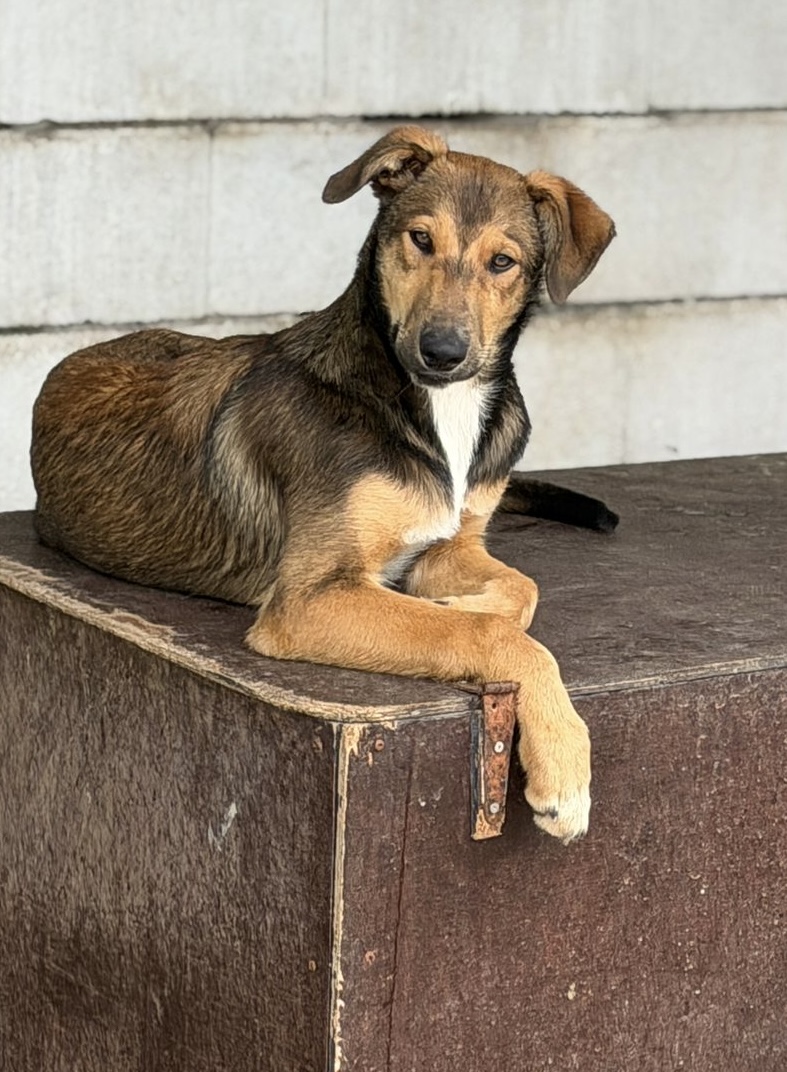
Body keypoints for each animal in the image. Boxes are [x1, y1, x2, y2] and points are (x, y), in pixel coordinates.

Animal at [31, 126, 615, 842]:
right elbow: (492, 634)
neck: (426, 407)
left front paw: (459, 604)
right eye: (420, 239)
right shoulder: (310, 598)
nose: (442, 352)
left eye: (502, 261)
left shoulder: (449, 544)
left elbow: (520, 590)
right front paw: (562, 762)